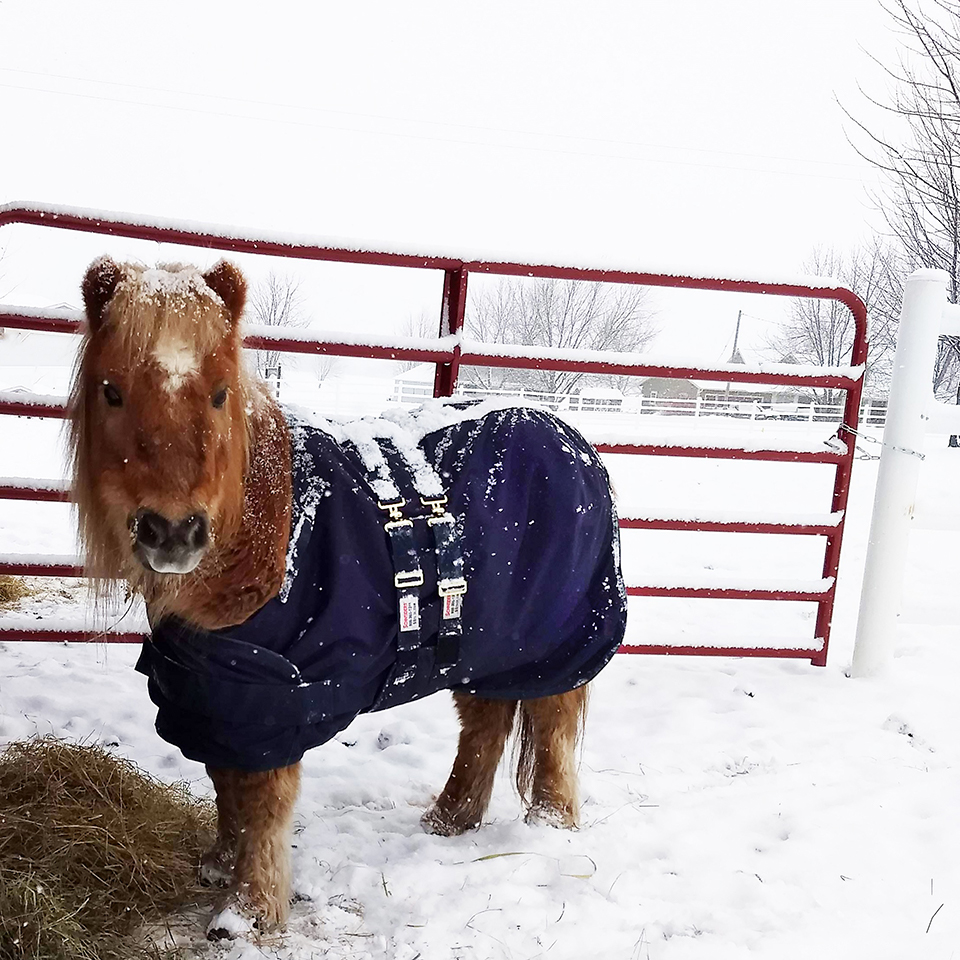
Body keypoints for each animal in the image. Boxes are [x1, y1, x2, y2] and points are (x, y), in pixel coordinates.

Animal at [67, 256, 624, 936]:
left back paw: (549, 823)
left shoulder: (278, 700)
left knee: (552, 726)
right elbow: (226, 783)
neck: (269, 531)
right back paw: (449, 820)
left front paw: (249, 915)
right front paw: (221, 868)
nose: (172, 531)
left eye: (220, 393)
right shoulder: (221, 695)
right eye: (111, 391)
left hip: (557, 645)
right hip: (484, 645)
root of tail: (571, 438)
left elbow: (263, 800)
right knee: (486, 724)